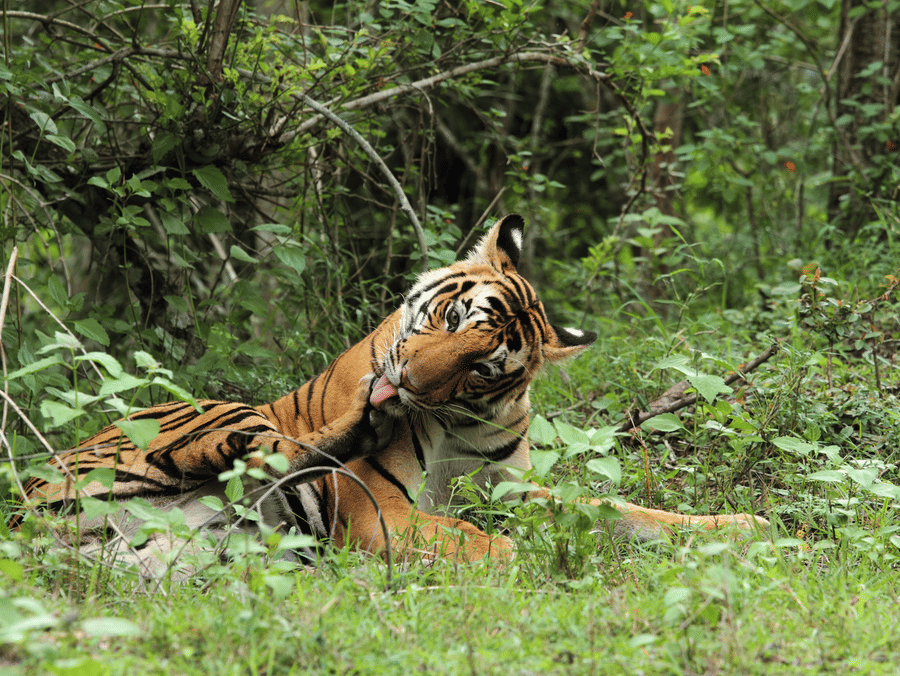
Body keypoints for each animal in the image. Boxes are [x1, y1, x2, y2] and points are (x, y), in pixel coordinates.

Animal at [18, 214, 768, 575]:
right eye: (455, 318)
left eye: (483, 368)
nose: (403, 380)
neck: (460, 422)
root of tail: (27, 505)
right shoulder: (374, 507)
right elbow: (480, 540)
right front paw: (524, 559)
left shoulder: (516, 492)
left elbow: (622, 511)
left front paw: (741, 528)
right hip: (208, 416)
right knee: (276, 449)